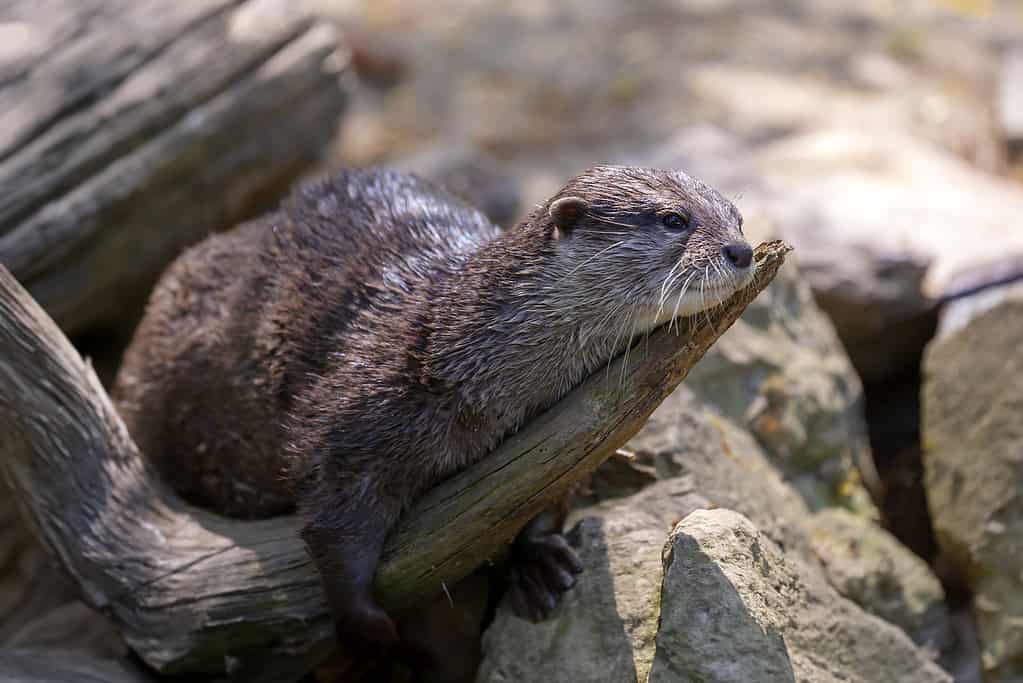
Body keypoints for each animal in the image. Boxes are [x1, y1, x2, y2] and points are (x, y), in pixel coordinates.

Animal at [112, 162, 757, 654]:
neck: (457, 353)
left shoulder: (569, 429)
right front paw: (368, 628)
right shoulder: (349, 423)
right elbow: (332, 522)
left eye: (737, 216)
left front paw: (538, 561)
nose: (742, 249)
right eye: (674, 219)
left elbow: (550, 487)